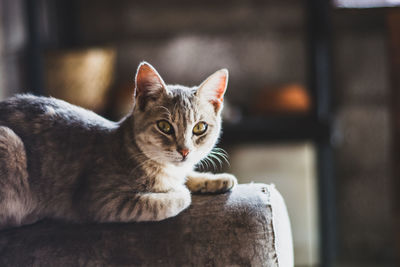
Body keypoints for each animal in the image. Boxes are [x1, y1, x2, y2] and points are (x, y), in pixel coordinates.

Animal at [0, 61, 238, 229]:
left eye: (200, 128)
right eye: (164, 126)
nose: (185, 150)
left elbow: (188, 176)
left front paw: (215, 179)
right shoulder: (100, 200)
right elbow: (164, 200)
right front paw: (179, 191)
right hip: (9, 141)